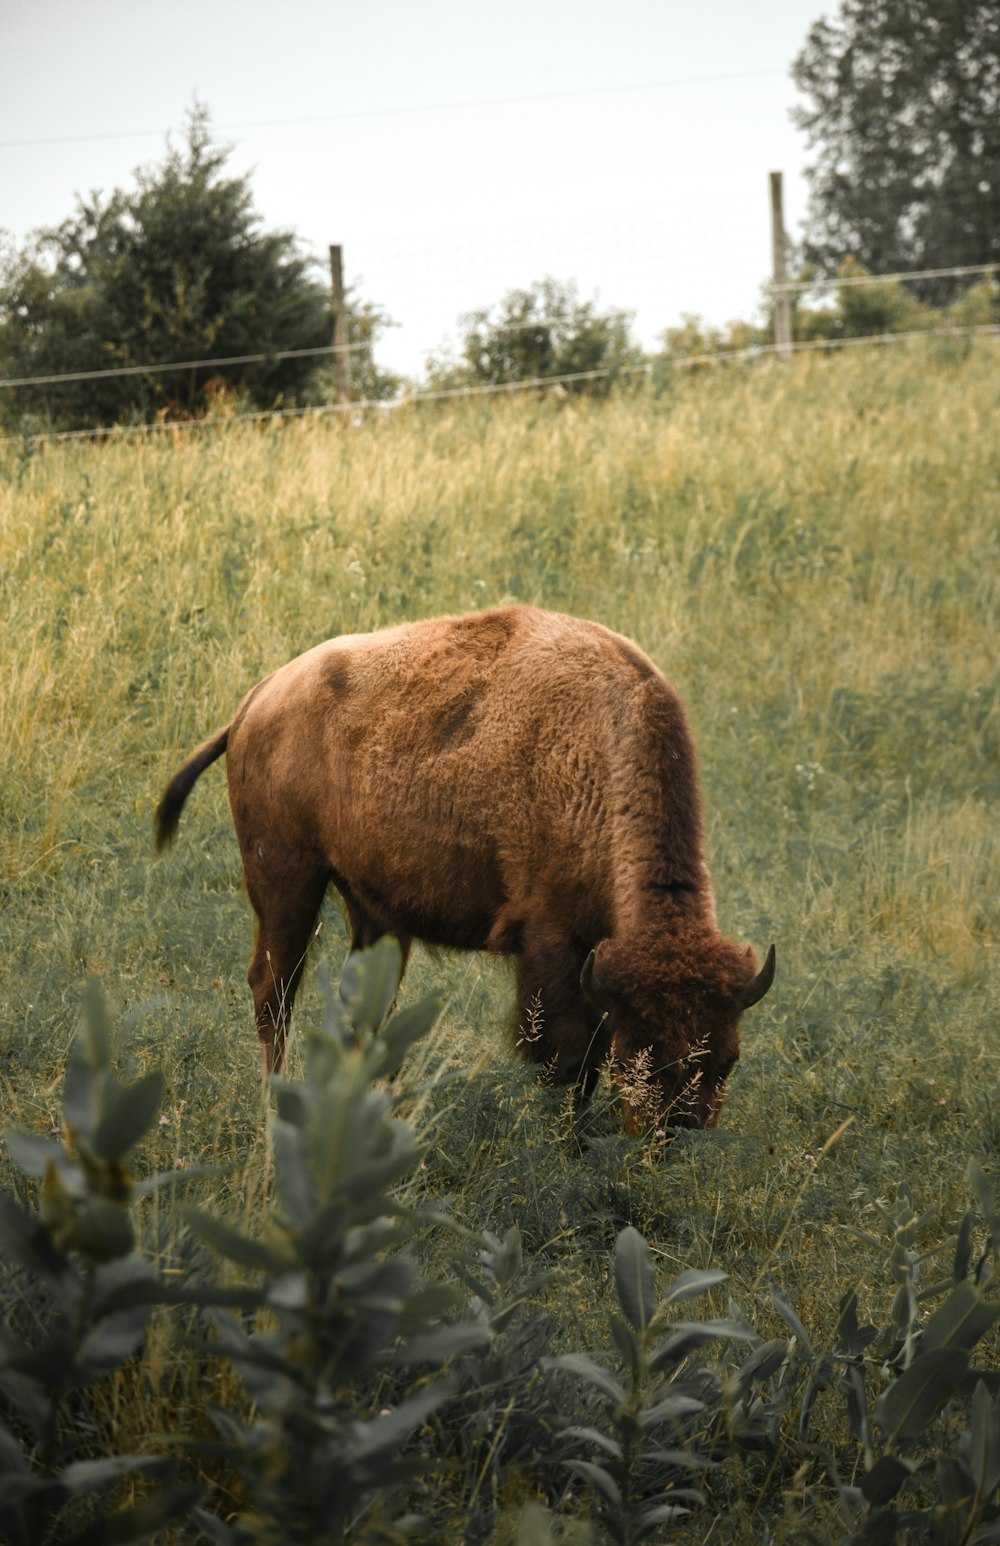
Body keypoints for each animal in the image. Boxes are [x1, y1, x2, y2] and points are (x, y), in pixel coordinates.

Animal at [154, 609, 775, 1131]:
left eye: (727, 1058)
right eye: (641, 1054)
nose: (674, 1134)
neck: (597, 750)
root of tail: (256, 701)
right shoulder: (550, 942)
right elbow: (569, 1060)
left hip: (373, 912)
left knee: (366, 1011)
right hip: (287, 882)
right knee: (274, 991)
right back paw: (275, 1112)